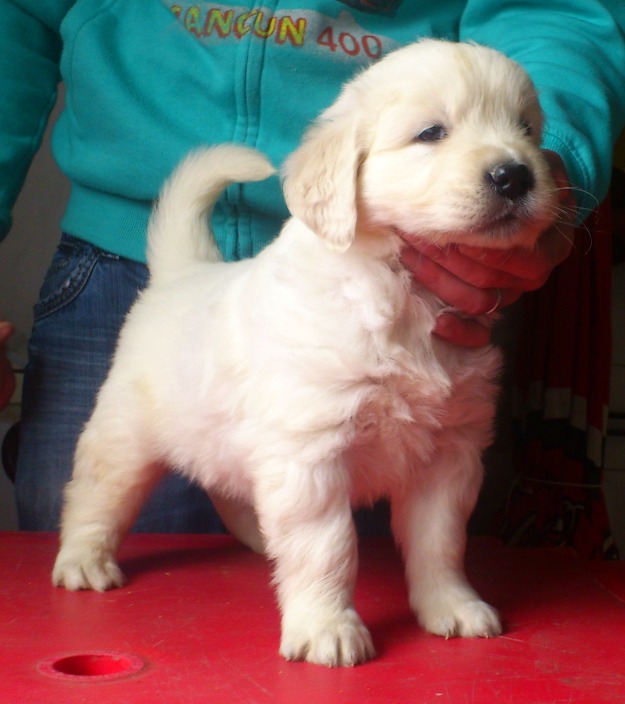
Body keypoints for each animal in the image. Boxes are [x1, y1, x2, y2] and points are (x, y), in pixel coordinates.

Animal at [52, 38, 556, 664]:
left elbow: (440, 541)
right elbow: (328, 546)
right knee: (95, 493)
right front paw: (327, 628)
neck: (404, 292)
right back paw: (84, 560)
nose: (515, 174)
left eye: (527, 128)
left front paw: (453, 605)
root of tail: (182, 272)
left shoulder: (450, 451)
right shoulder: (310, 451)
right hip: (124, 434)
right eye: (431, 133)